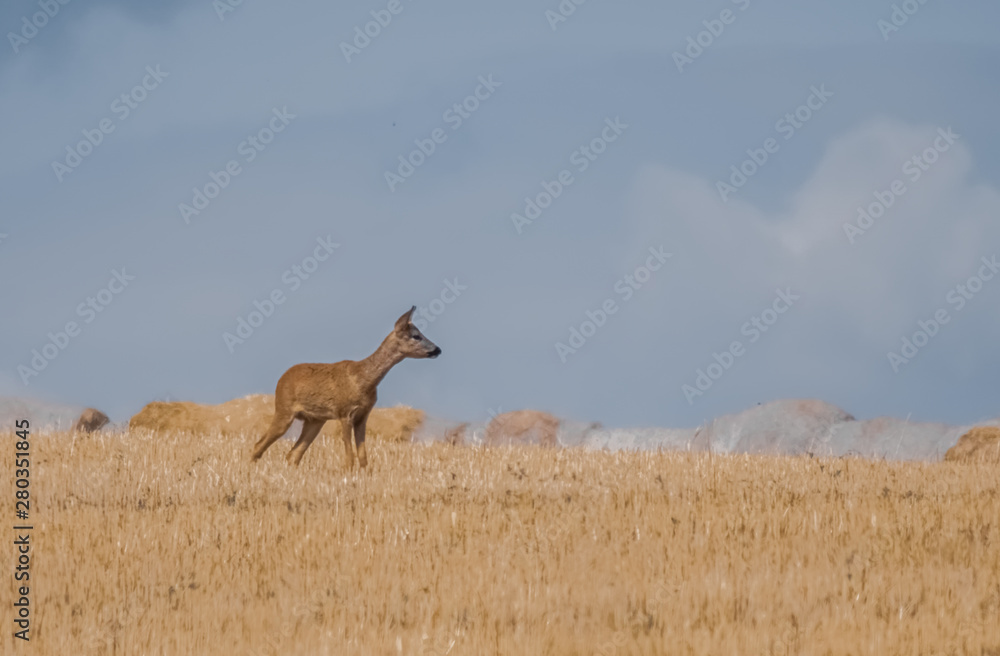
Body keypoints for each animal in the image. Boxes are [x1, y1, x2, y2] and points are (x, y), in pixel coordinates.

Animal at [250, 307, 441, 469]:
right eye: (416, 335)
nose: (438, 349)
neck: (364, 380)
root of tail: (282, 378)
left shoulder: (363, 415)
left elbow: (363, 457)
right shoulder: (344, 412)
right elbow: (349, 457)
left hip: (314, 420)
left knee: (293, 454)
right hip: (284, 410)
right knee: (259, 445)